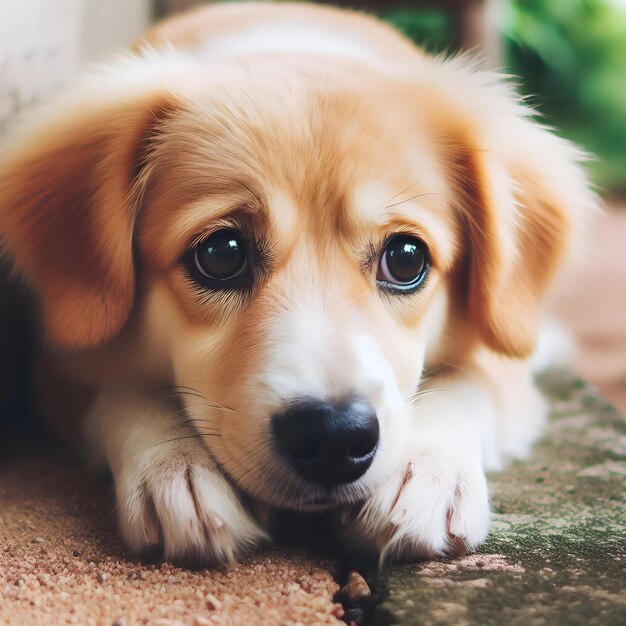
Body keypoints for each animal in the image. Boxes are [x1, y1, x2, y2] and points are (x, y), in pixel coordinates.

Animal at [1, 1, 596, 564]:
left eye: (406, 259)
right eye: (221, 254)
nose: (334, 438)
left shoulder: (502, 359)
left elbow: (469, 385)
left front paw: (427, 475)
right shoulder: (56, 366)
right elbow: (121, 393)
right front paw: (177, 469)